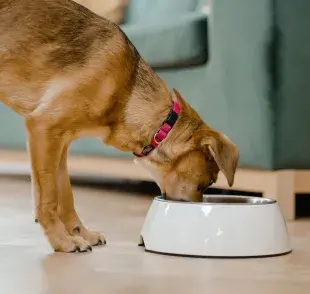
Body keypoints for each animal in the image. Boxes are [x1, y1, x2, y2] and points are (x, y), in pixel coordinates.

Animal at [0, 0, 240, 253]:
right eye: (208, 183)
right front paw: (62, 241)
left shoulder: (59, 143)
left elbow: (65, 194)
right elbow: (48, 198)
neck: (127, 90)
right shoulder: (44, 128)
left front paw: (80, 233)